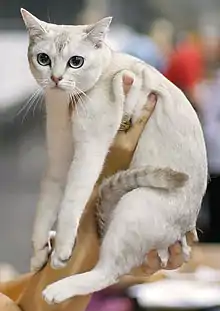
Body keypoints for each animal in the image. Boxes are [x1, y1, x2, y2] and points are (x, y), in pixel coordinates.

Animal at [20, 8, 208, 306]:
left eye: (76, 62)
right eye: (43, 59)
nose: (56, 79)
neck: (66, 103)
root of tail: (186, 227)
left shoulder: (90, 150)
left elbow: (70, 203)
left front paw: (62, 249)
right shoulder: (59, 158)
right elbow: (46, 207)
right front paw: (39, 252)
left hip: (135, 204)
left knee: (108, 272)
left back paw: (57, 289)